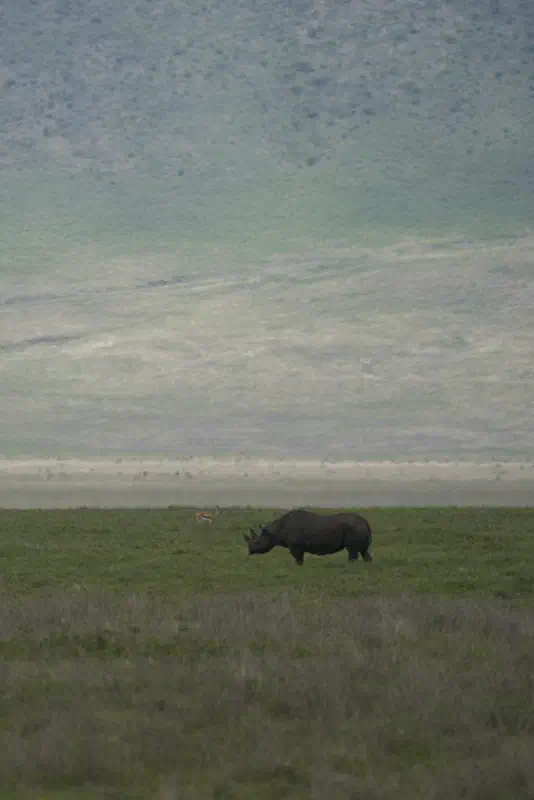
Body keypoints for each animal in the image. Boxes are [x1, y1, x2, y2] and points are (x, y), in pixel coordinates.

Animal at [244, 508, 373, 566]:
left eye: (258, 542)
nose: (249, 551)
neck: (274, 531)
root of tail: (364, 521)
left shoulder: (295, 546)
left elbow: (298, 559)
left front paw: (297, 567)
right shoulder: (297, 547)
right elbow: (300, 558)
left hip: (353, 528)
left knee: (352, 550)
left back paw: (350, 565)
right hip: (357, 527)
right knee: (363, 550)